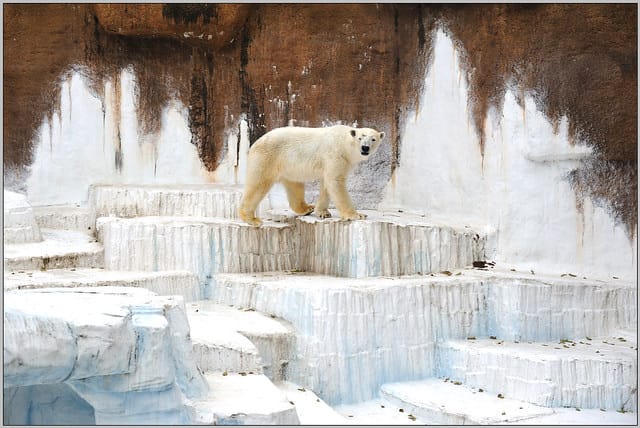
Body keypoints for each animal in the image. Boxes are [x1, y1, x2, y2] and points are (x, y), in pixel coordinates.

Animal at [239, 124, 385, 226]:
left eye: (373, 139)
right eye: (361, 137)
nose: (365, 148)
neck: (345, 142)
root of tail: (255, 143)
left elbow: (327, 184)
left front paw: (322, 212)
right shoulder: (335, 154)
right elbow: (335, 181)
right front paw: (357, 215)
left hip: (289, 166)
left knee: (295, 186)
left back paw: (307, 208)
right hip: (267, 158)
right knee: (258, 184)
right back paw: (252, 219)